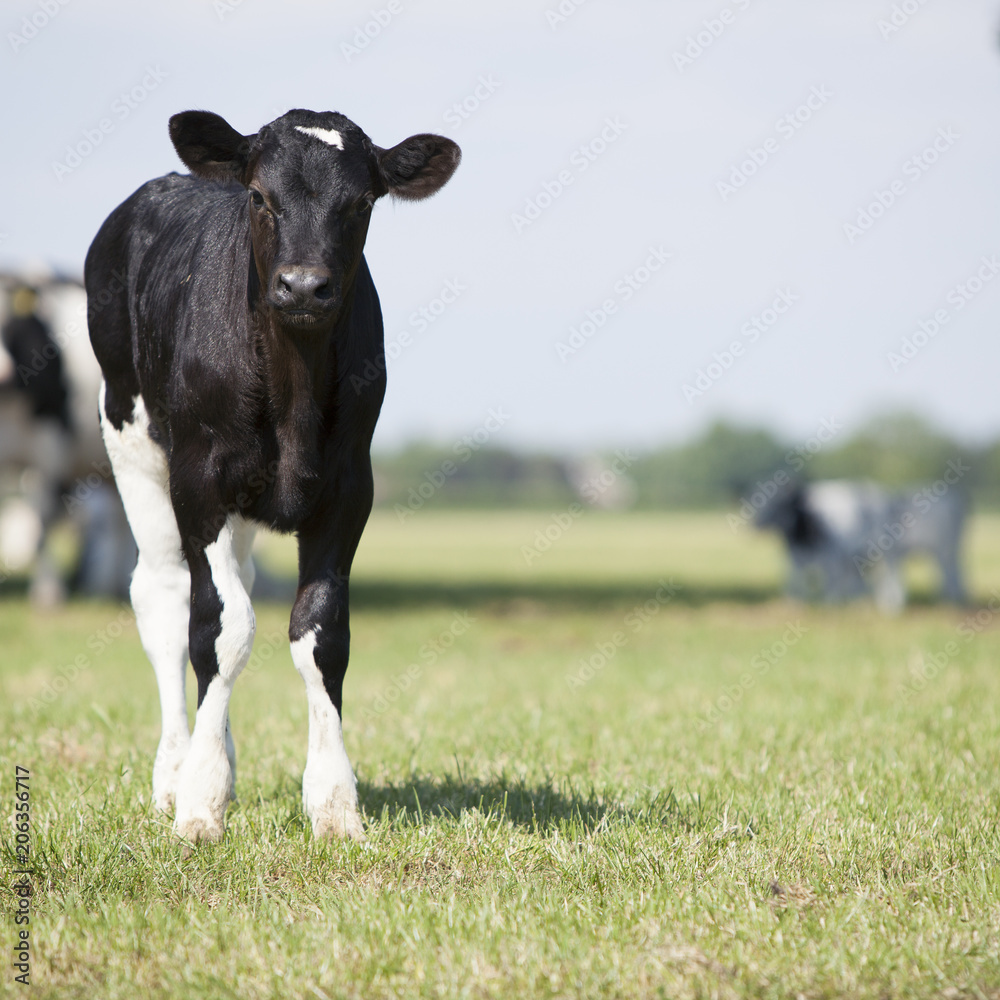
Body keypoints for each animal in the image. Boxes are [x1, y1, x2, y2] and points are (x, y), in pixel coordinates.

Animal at [86, 109, 460, 844]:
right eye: (260, 197)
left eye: (361, 201)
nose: (304, 286)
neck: (292, 388)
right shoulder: (201, 481)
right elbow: (220, 629)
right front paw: (201, 801)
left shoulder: (348, 490)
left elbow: (321, 633)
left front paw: (335, 805)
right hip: (131, 439)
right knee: (164, 595)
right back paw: (174, 771)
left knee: (238, 584)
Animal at [756, 476, 968, 608]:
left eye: (779, 504)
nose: (755, 523)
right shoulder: (798, 558)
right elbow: (796, 579)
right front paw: (794, 603)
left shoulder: (832, 557)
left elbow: (833, 581)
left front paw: (831, 603)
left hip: (927, 550)